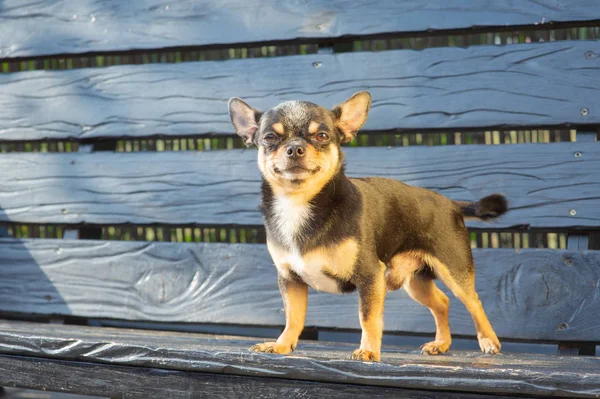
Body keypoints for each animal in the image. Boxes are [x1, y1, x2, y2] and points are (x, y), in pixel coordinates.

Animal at [227, 92, 508, 360]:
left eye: (322, 135)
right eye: (270, 137)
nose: (295, 148)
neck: (300, 203)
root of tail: (452, 203)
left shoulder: (370, 276)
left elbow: (368, 318)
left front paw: (369, 351)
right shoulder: (290, 280)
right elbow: (293, 317)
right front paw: (282, 345)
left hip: (454, 270)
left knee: (474, 302)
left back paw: (488, 341)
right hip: (416, 282)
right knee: (442, 302)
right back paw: (441, 343)